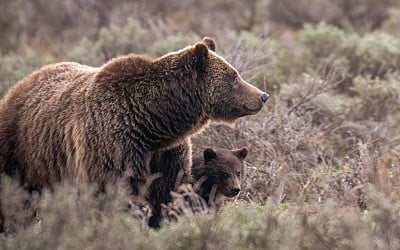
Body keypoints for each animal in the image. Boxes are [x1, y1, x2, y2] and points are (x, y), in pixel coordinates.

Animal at [0, 37, 270, 230]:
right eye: (234, 76)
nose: (262, 95)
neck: (153, 122)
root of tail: (19, 85)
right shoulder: (114, 144)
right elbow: (117, 191)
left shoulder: (167, 153)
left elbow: (167, 192)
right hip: (21, 151)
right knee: (14, 198)